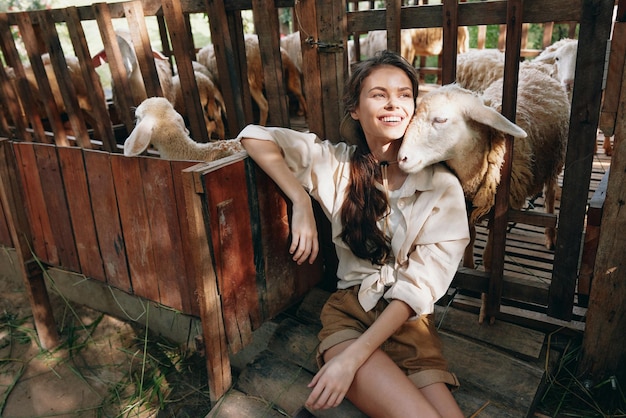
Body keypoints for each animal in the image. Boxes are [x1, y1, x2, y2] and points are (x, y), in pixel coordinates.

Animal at [398, 68, 568, 324]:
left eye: (440, 120)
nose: (402, 158)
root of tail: (534, 70)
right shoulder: (467, 201)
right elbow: (469, 237)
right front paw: (468, 270)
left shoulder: (500, 213)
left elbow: (489, 260)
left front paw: (487, 311)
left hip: (554, 161)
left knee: (550, 195)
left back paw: (550, 236)